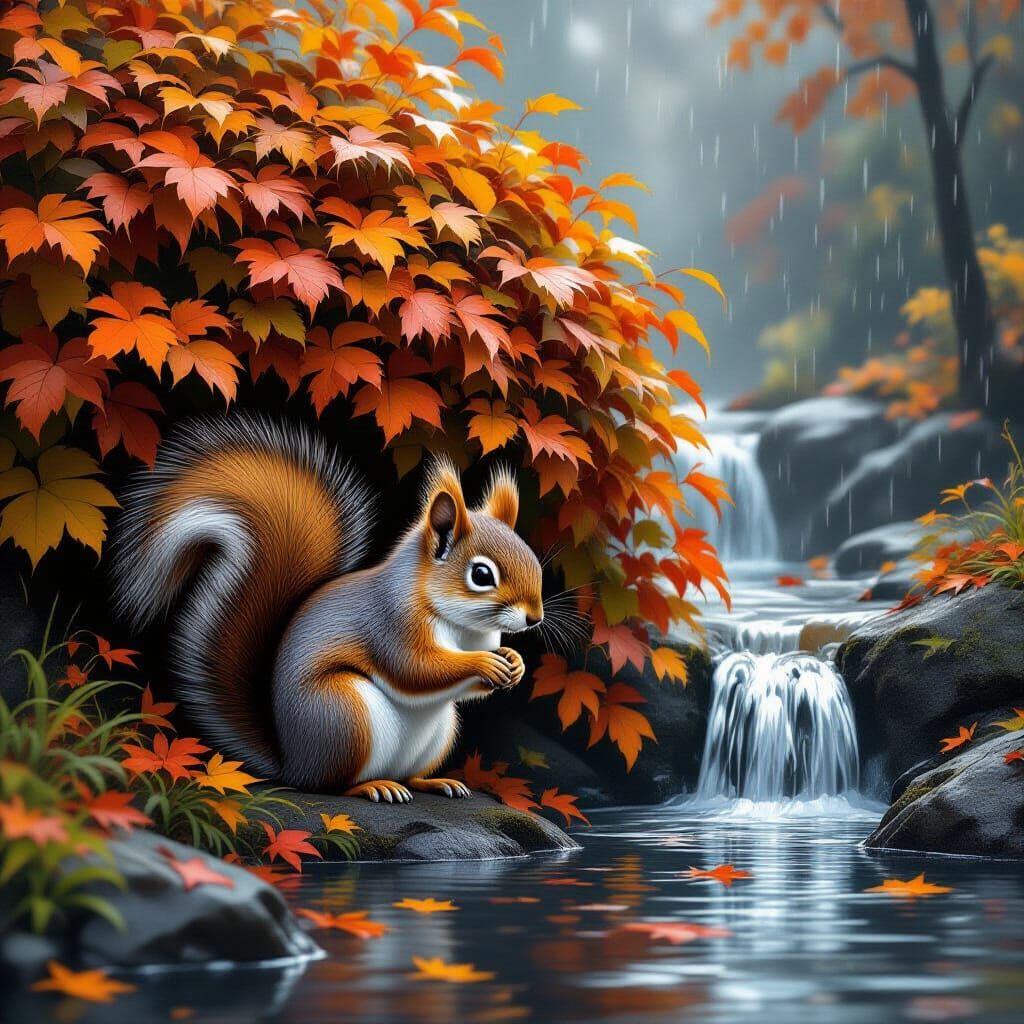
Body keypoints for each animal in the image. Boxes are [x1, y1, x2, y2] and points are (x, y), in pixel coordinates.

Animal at [112, 415, 544, 803]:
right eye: (482, 574)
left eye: (533, 560)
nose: (534, 618)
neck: (460, 625)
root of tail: (294, 764)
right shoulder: (391, 623)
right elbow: (415, 669)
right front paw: (484, 664)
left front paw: (514, 662)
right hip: (343, 717)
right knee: (332, 786)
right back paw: (374, 787)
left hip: (439, 731)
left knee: (409, 772)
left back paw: (434, 782)